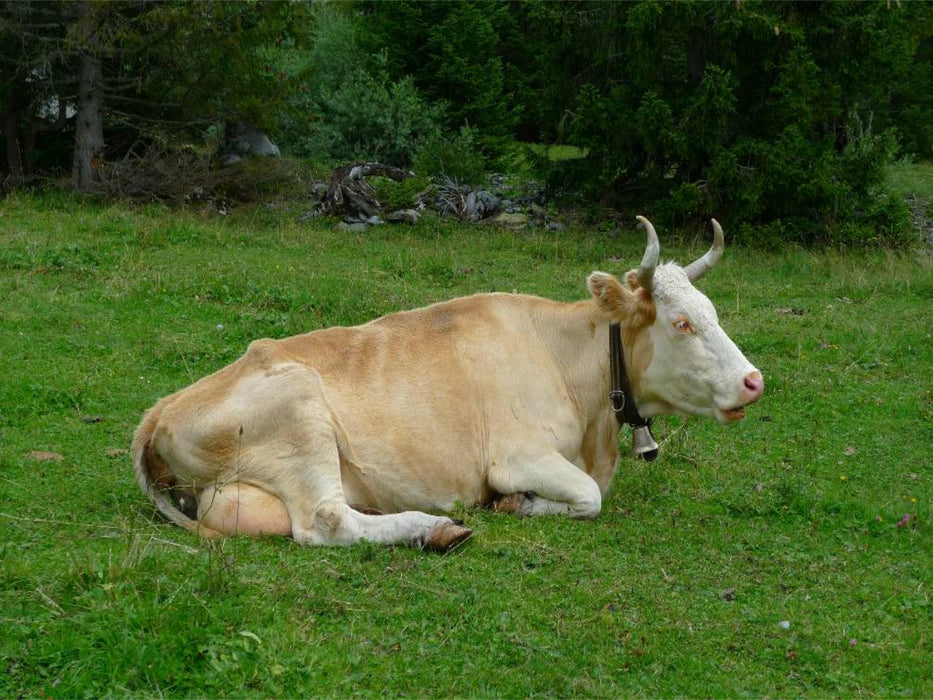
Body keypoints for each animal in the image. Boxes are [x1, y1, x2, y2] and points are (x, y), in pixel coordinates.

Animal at [132, 217, 763, 551]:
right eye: (681, 323)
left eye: (711, 310)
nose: (754, 381)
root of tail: (160, 409)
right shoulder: (518, 455)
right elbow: (589, 496)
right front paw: (518, 504)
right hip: (301, 412)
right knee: (325, 523)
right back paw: (435, 528)